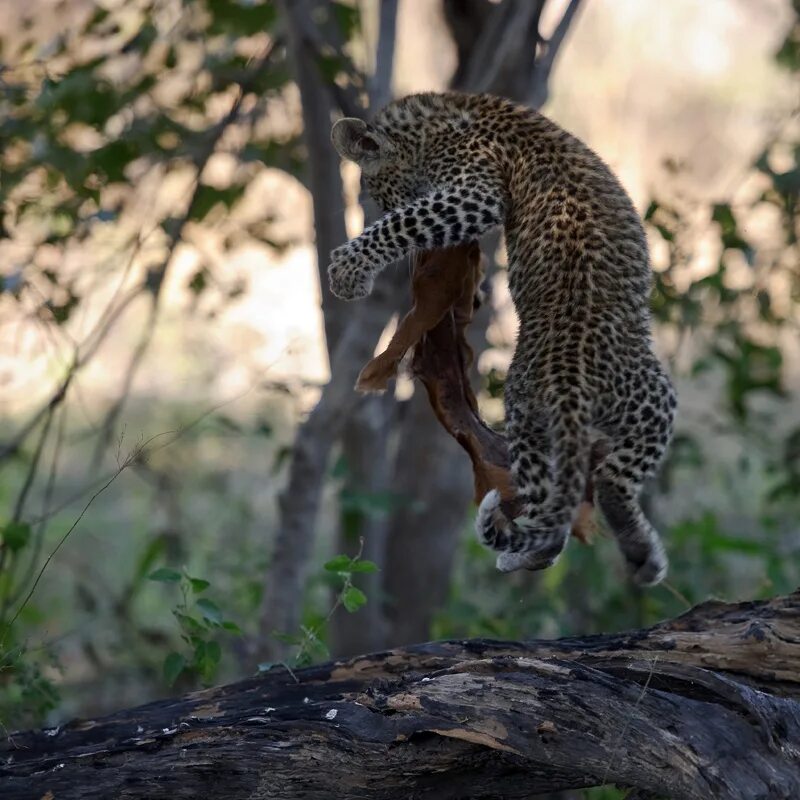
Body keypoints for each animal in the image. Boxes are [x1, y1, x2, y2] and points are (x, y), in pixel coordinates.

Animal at [328, 90, 680, 584]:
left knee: (576, 494)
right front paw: (351, 269)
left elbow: (404, 221)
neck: (445, 118)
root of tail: (567, 382)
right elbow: (407, 222)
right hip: (615, 410)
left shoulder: (473, 188)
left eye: (378, 195)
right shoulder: (474, 189)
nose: (379, 203)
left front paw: (347, 269)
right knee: (596, 487)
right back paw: (628, 555)